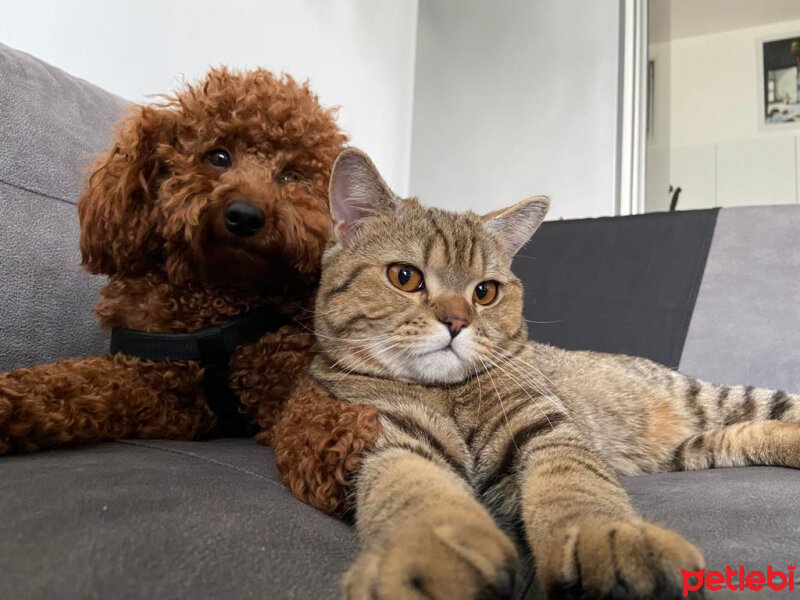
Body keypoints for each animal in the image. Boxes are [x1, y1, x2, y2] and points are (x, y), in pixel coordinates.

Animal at [308, 148, 800, 596]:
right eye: (405, 277)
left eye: (484, 292)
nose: (456, 321)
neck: (449, 393)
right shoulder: (392, 436)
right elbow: (413, 489)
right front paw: (427, 556)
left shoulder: (545, 426)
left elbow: (575, 483)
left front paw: (606, 540)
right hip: (694, 449)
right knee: (745, 434)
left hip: (715, 398)